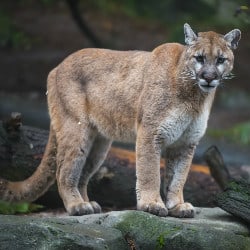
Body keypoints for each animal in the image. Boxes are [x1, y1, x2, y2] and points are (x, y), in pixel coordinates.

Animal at [0, 24, 240, 218]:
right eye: (199, 58)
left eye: (220, 60)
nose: (208, 77)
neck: (194, 96)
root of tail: (57, 66)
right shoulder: (151, 132)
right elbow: (150, 172)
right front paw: (152, 204)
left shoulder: (185, 142)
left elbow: (178, 177)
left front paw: (177, 206)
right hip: (76, 129)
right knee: (64, 171)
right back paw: (77, 206)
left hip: (98, 144)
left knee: (82, 174)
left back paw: (88, 203)